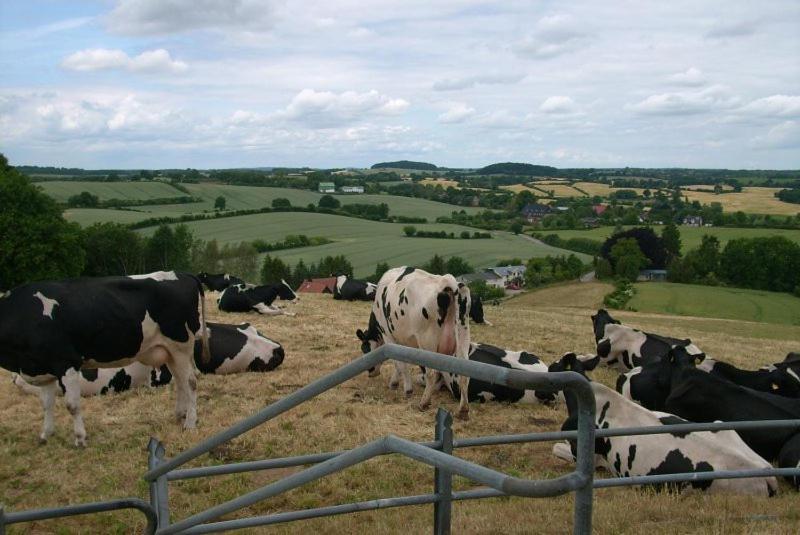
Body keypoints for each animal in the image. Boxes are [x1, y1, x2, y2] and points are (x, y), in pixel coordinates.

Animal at [0, 272, 209, 448]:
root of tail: (182, 274)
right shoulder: (43, 368)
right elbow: (46, 404)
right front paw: (46, 434)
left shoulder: (66, 363)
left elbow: (72, 405)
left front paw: (80, 439)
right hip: (168, 351)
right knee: (181, 382)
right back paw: (180, 415)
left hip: (180, 346)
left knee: (190, 382)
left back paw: (190, 423)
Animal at [354, 266, 472, 418]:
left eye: (364, 349)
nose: (370, 372)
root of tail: (446, 281)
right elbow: (400, 362)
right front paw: (394, 382)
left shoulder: (388, 335)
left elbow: (400, 364)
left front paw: (407, 389)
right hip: (463, 334)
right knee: (464, 372)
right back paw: (463, 409)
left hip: (427, 341)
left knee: (432, 373)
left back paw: (424, 403)